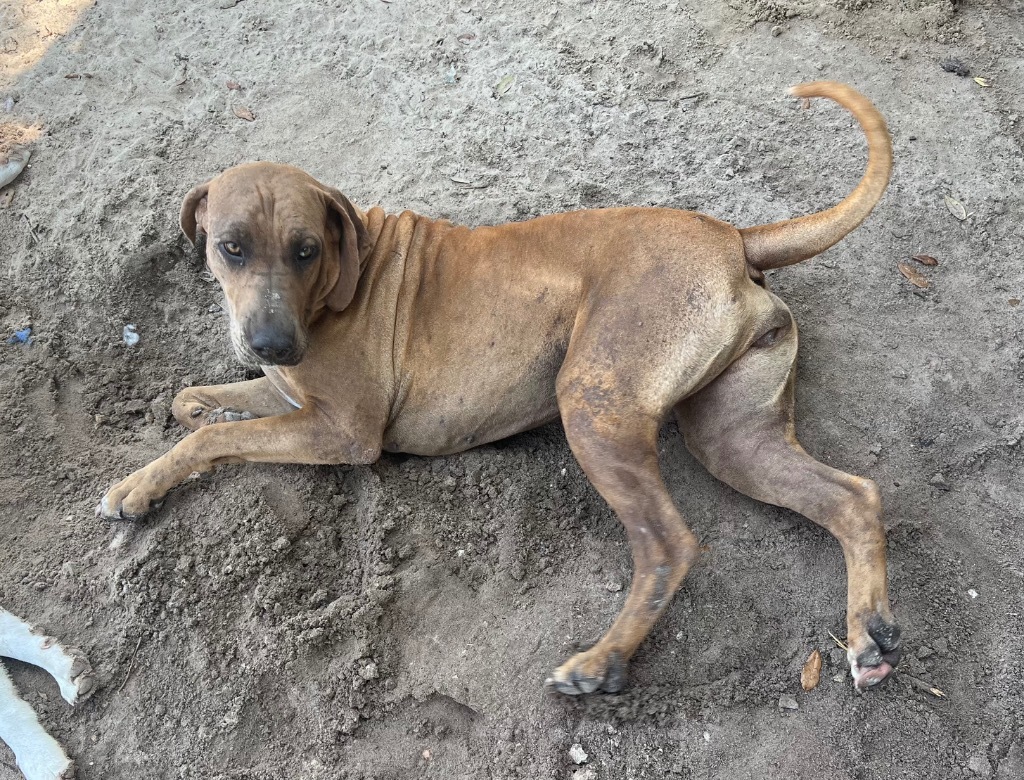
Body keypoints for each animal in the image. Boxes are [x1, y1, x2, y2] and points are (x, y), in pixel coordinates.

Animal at [99, 83, 901, 691]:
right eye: (229, 247)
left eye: (306, 249)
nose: (271, 343)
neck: (341, 281)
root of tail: (733, 235)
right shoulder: (297, 401)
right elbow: (200, 405)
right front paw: (198, 413)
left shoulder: (339, 430)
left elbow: (209, 438)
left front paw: (136, 487)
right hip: (733, 439)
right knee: (851, 496)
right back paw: (868, 632)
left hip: (595, 405)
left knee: (667, 544)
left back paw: (602, 661)